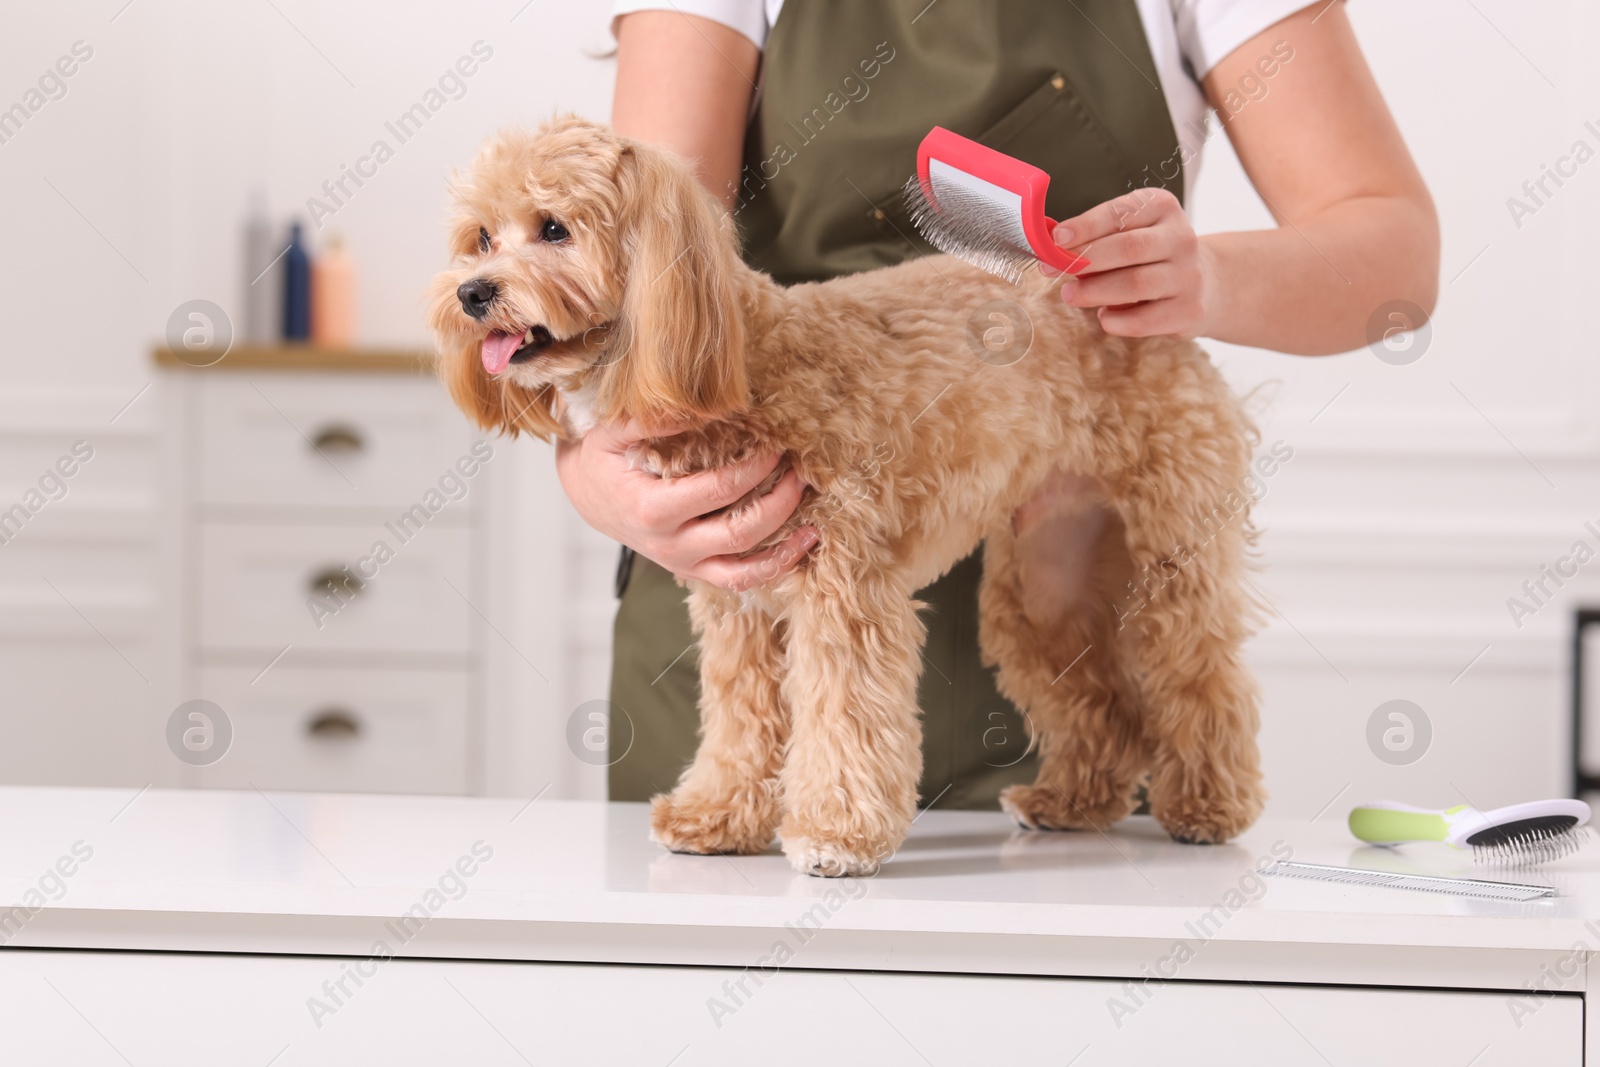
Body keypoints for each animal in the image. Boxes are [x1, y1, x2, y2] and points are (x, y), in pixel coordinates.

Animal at [432, 120, 1267, 883]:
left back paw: (1209, 806)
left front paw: (836, 834)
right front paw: (718, 815)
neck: (742, 363)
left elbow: (844, 713)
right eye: (481, 238)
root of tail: (1100, 292)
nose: (472, 293)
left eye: (554, 228)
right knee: (1104, 701)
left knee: (1200, 677)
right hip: (1047, 583)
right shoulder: (737, 602)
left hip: (1173, 550)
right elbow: (740, 720)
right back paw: (1073, 802)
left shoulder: (843, 588)